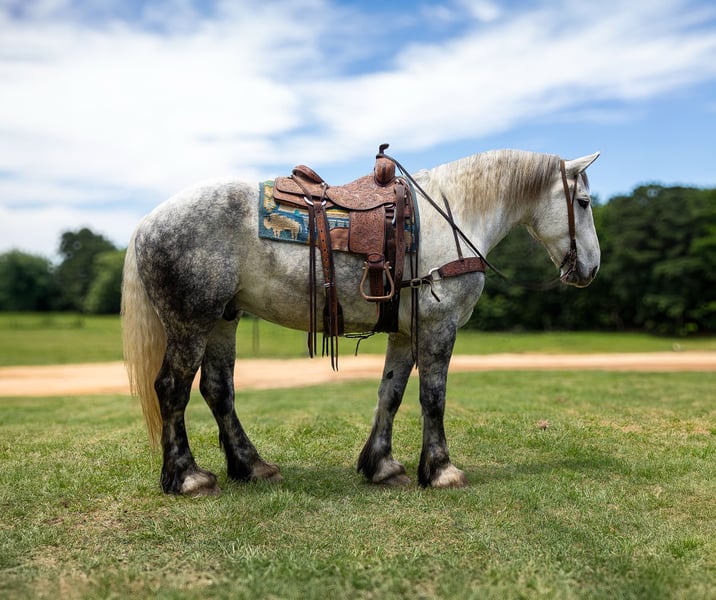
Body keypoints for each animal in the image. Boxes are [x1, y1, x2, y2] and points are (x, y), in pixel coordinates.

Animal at [121, 148, 600, 496]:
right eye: (583, 202)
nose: (591, 268)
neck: (452, 216)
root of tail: (147, 222)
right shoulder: (439, 326)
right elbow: (433, 398)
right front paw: (441, 470)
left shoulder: (405, 334)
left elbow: (391, 393)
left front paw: (381, 465)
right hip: (191, 320)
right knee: (172, 389)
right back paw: (187, 477)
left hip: (223, 318)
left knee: (218, 390)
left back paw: (252, 465)